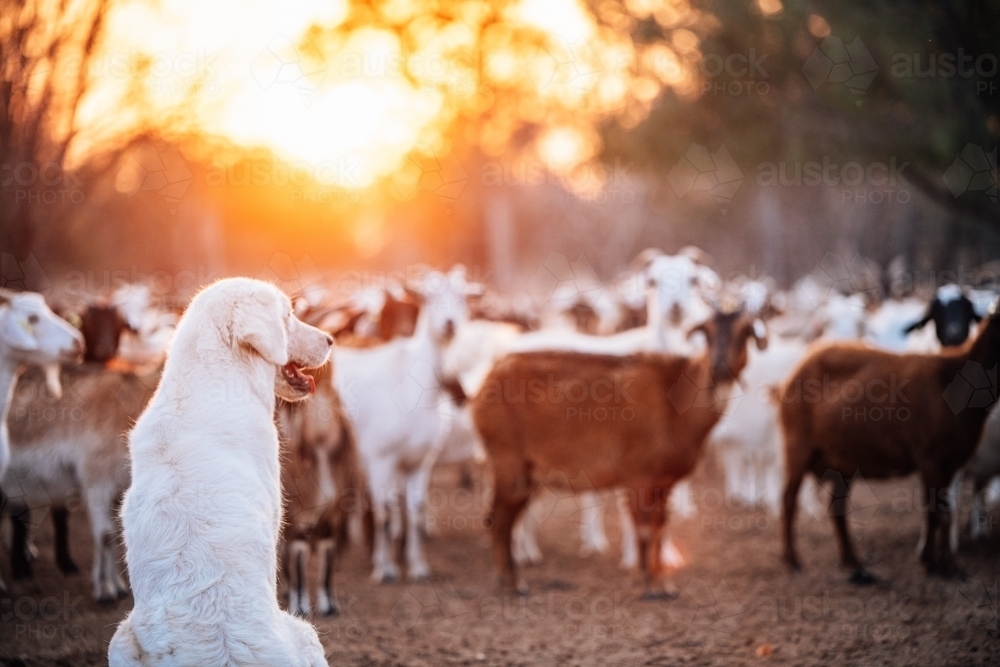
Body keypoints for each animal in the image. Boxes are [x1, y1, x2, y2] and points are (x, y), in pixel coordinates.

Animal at [276, 362, 366, 620]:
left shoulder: (332, 515)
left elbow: (328, 557)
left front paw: (329, 605)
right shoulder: (298, 515)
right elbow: (299, 557)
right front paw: (300, 606)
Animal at [472, 308, 760, 596]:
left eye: (744, 332)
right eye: (707, 332)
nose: (720, 368)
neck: (677, 400)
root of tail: (488, 377)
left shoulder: (663, 482)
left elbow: (659, 527)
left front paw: (659, 582)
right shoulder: (640, 477)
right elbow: (644, 529)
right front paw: (650, 584)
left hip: (528, 472)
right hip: (508, 459)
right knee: (498, 520)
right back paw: (513, 582)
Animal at [780, 310, 1000, 580]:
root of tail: (800, 365)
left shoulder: (949, 463)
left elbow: (936, 511)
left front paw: (934, 562)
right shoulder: (929, 457)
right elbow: (942, 513)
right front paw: (946, 566)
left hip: (842, 459)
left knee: (837, 508)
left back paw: (854, 564)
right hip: (797, 446)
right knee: (788, 501)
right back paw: (792, 561)